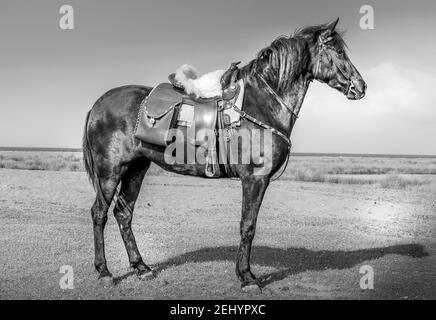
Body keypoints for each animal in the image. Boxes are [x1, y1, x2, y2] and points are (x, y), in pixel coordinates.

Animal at [82, 18, 368, 292]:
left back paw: (141, 267)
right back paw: (104, 271)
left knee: (123, 214)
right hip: (110, 170)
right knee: (99, 213)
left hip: (136, 168)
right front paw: (247, 277)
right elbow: (248, 226)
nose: (361, 86)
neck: (261, 105)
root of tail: (97, 105)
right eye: (338, 51)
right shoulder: (255, 179)